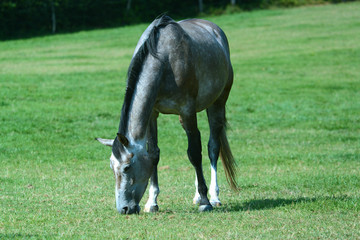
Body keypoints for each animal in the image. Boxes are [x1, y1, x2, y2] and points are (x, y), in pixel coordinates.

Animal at [95, 15, 236, 214]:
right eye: (111, 167)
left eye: (127, 167)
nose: (123, 208)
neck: (166, 61)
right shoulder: (152, 114)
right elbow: (154, 153)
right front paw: (152, 202)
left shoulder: (187, 111)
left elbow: (194, 153)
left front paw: (204, 201)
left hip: (217, 104)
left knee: (213, 148)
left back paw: (214, 197)